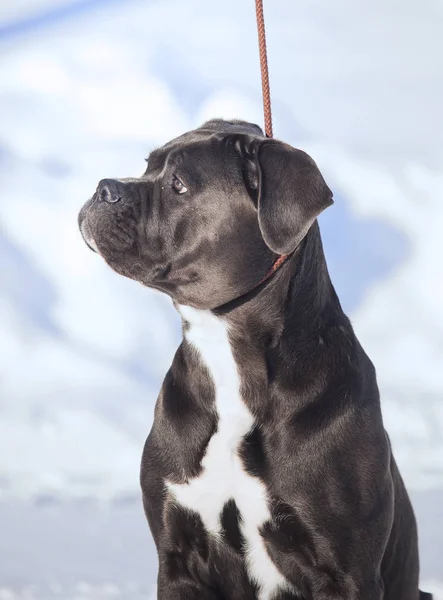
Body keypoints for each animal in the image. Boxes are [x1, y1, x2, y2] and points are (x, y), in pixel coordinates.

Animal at [78, 119, 432, 600]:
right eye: (147, 165)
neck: (229, 362)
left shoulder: (347, 572)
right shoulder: (178, 557)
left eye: (179, 184)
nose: (104, 188)